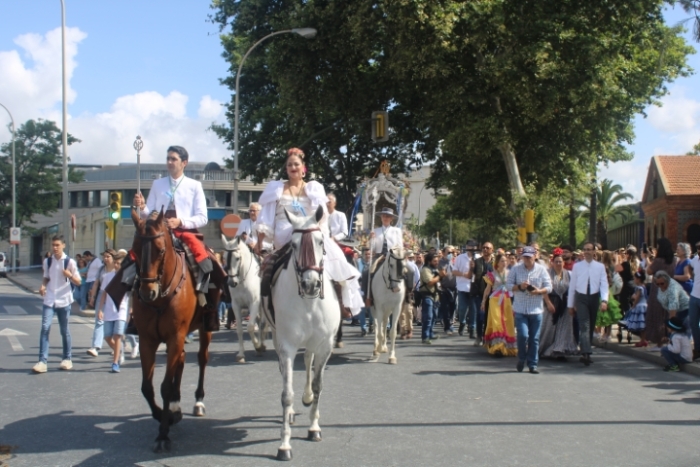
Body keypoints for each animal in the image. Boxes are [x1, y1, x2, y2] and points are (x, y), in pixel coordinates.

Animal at [131, 208, 213, 454]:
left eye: (160, 250)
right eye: (135, 249)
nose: (147, 292)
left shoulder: (176, 336)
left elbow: (165, 386)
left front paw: (163, 434)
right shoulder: (148, 340)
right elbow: (147, 387)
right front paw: (164, 415)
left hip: (204, 329)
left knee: (202, 359)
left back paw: (198, 401)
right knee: (181, 360)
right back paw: (176, 405)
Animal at [221, 236, 268, 364]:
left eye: (237, 258)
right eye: (224, 257)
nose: (232, 282)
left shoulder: (254, 303)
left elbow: (250, 326)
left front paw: (257, 346)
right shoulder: (235, 305)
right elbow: (240, 329)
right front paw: (241, 354)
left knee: (263, 324)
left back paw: (261, 345)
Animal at [262, 207, 340, 462]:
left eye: (320, 241)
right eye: (293, 245)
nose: (310, 284)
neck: (309, 302)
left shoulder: (325, 345)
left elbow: (317, 385)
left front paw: (314, 428)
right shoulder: (287, 346)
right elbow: (286, 394)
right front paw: (284, 444)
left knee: (307, 361)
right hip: (277, 338)